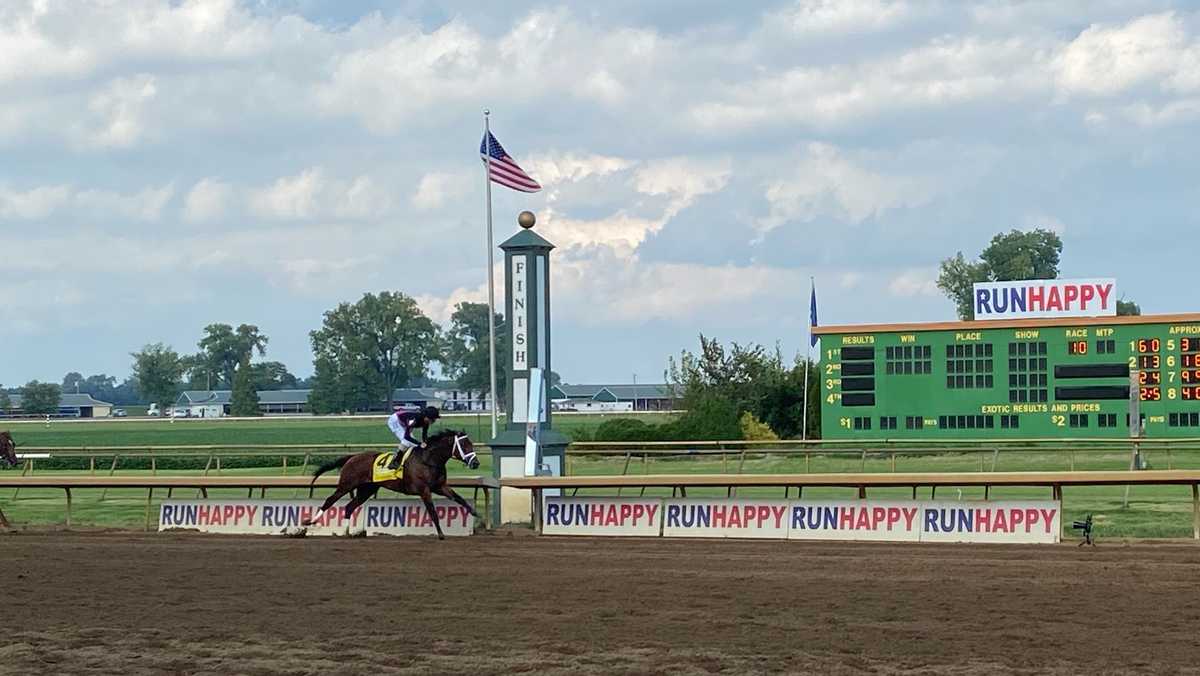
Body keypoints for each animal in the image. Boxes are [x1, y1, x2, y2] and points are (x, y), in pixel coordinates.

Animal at [302, 427, 480, 540]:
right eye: (464, 445)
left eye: (471, 444)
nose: (476, 463)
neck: (428, 460)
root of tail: (352, 457)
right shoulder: (424, 490)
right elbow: (433, 512)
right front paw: (441, 534)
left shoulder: (440, 486)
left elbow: (459, 499)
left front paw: (477, 514)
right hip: (347, 484)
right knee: (330, 501)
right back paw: (310, 522)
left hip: (366, 489)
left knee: (350, 507)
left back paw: (349, 532)